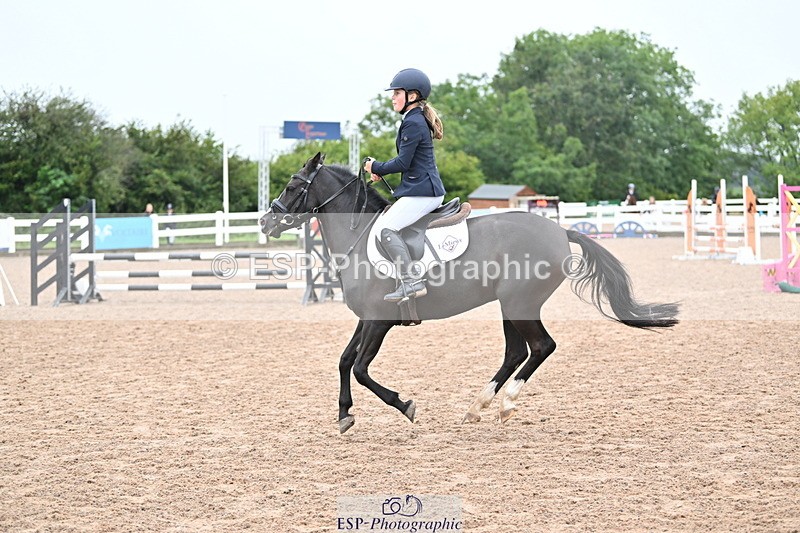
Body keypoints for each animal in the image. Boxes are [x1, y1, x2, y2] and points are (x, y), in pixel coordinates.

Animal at [260, 153, 679, 434]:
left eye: (293, 186)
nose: (266, 221)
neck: (359, 237)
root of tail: (561, 230)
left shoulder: (380, 321)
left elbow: (362, 369)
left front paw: (404, 405)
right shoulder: (366, 319)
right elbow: (345, 361)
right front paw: (345, 414)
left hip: (520, 303)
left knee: (541, 347)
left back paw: (505, 405)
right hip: (509, 305)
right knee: (516, 353)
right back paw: (478, 407)